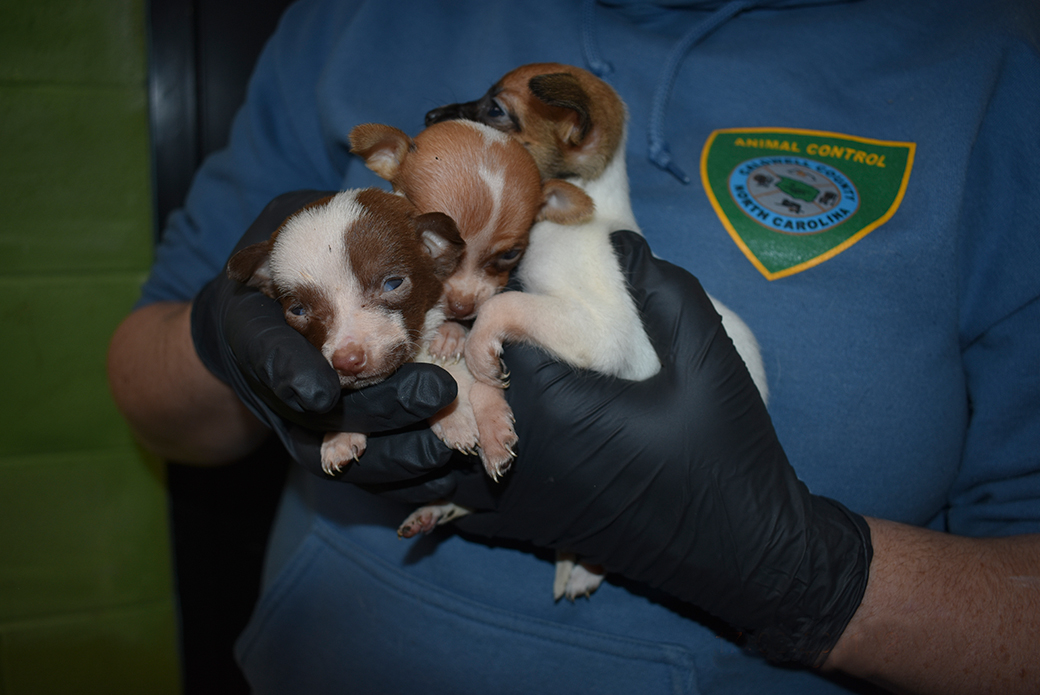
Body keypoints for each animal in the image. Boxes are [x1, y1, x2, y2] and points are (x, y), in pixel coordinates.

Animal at [426, 62, 769, 599]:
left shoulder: (600, 330)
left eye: (496, 110)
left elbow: (503, 303)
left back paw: (588, 564)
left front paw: (481, 352)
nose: (429, 116)